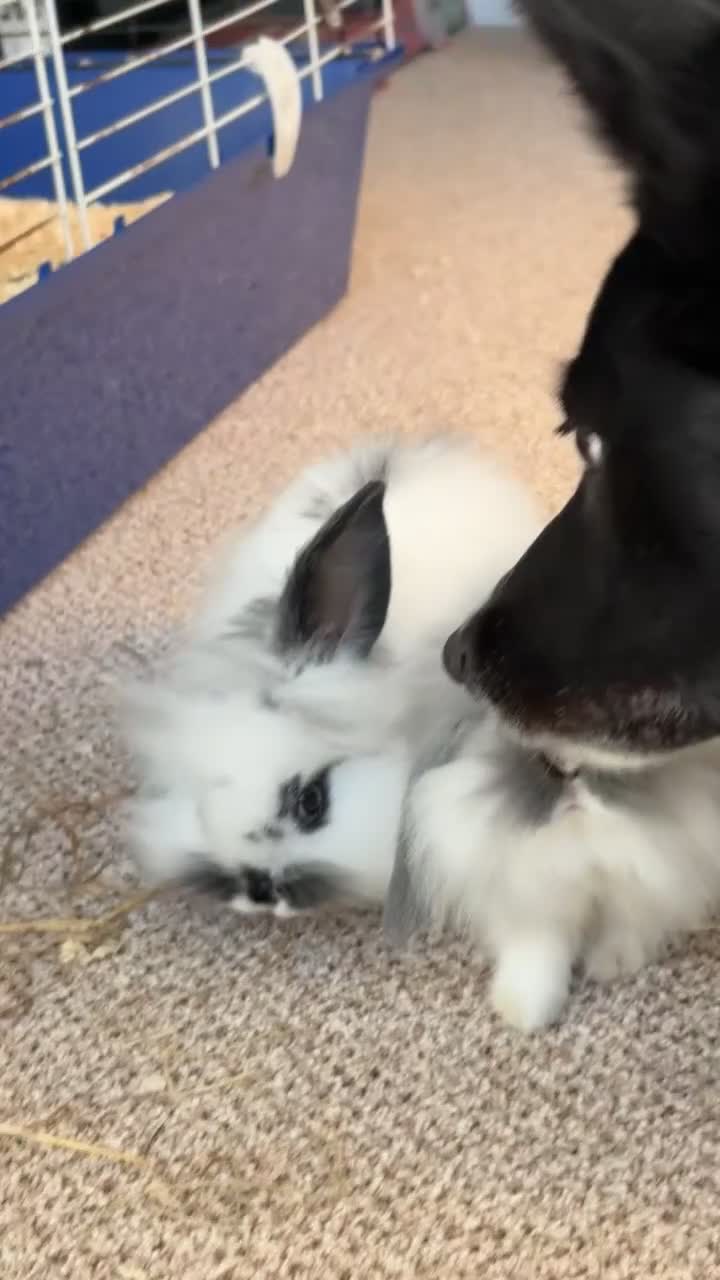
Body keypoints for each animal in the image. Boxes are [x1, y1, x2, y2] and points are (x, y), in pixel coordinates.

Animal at [384, 702, 720, 1032]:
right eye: (542, 759)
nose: (568, 772)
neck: (581, 841)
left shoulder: (641, 880)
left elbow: (625, 924)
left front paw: (611, 965)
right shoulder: (533, 895)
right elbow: (539, 949)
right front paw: (523, 1012)